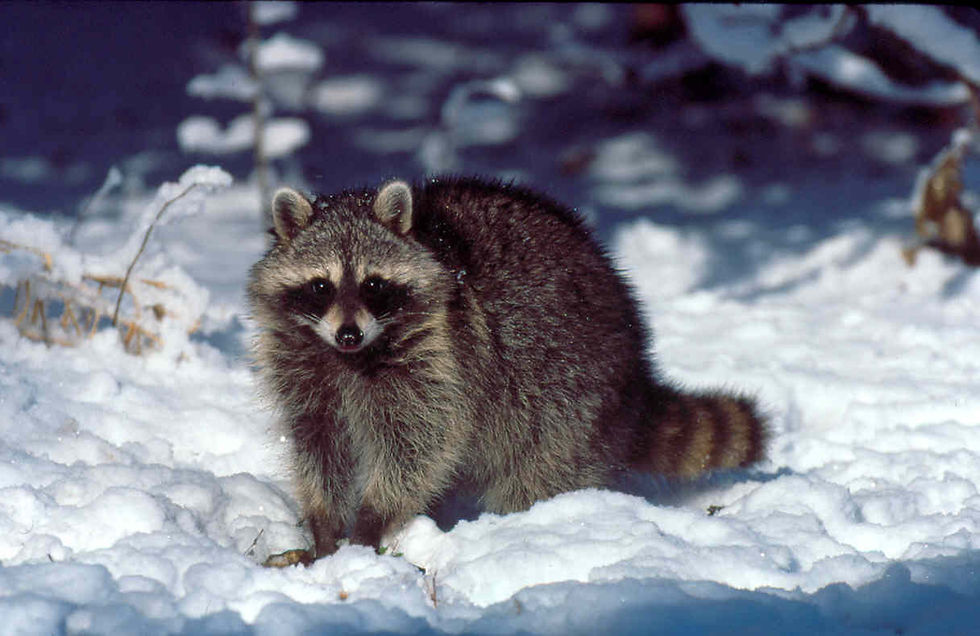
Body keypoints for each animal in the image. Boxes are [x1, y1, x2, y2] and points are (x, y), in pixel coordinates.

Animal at [247, 177, 766, 558]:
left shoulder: (442, 357)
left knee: (537, 475)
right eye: (321, 286)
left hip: (570, 402)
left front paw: (372, 519)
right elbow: (317, 443)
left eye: (374, 285)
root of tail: (635, 370)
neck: (351, 358)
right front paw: (323, 525)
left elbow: (421, 442)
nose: (349, 333)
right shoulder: (303, 368)